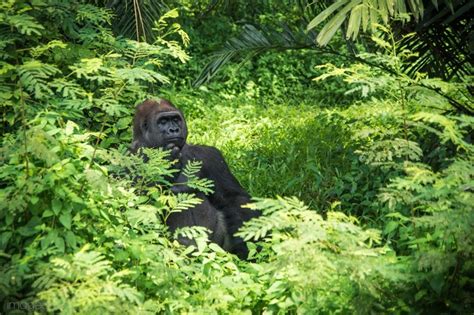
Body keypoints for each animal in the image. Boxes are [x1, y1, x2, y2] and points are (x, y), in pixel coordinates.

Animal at [130, 99, 260, 260]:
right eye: (163, 121)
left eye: (176, 119)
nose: (174, 129)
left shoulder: (210, 156)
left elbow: (234, 197)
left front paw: (244, 241)